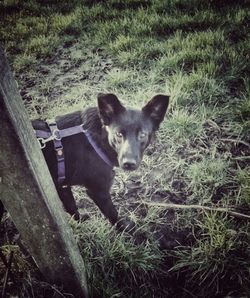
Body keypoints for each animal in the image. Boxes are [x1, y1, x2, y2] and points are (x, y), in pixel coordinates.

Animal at [31, 94, 169, 229]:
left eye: (142, 135)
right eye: (118, 134)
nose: (128, 164)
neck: (98, 139)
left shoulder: (61, 186)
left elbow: (72, 207)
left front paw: (80, 221)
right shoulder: (98, 192)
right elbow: (113, 214)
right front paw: (126, 229)